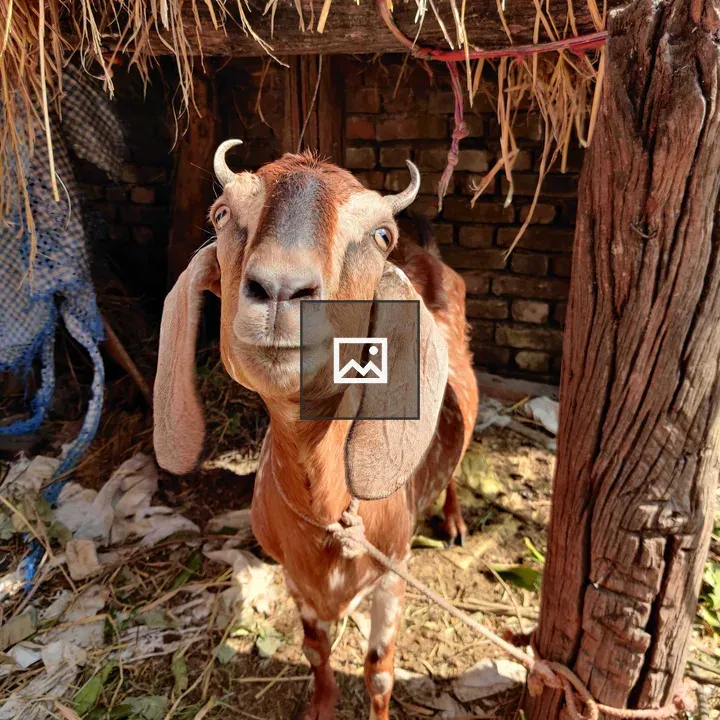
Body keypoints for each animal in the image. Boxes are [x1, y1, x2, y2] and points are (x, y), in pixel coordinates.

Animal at [153, 141, 479, 720]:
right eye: (221, 215)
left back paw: (455, 520)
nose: (282, 288)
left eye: (381, 236)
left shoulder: (393, 571)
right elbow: (314, 648)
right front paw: (321, 705)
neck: (326, 510)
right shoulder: (295, 578)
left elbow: (378, 672)